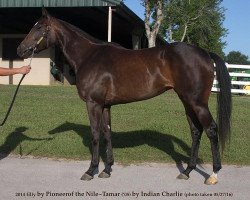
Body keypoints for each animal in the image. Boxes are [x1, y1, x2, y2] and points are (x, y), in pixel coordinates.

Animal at [17, 8, 232, 185]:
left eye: (39, 28)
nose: (20, 50)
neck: (89, 56)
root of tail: (205, 53)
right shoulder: (105, 105)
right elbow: (107, 133)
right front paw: (107, 169)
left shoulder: (93, 104)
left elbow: (95, 134)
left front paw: (90, 170)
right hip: (187, 101)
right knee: (196, 131)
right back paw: (187, 171)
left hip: (198, 103)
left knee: (211, 130)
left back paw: (213, 175)